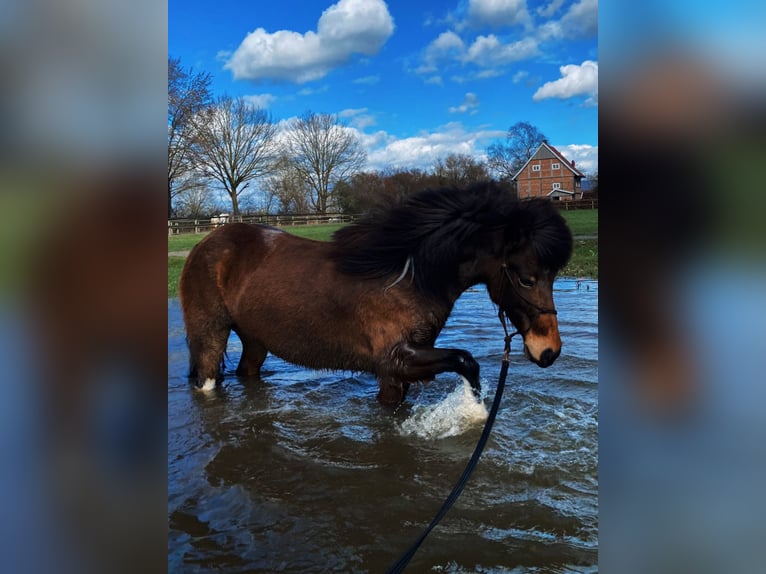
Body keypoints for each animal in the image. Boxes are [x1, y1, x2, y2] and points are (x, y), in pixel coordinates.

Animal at [180, 183, 572, 404]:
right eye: (527, 279)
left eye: (553, 276)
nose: (549, 351)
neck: (406, 277)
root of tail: (206, 243)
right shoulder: (394, 362)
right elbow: (465, 361)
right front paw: (474, 411)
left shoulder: (404, 368)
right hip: (210, 339)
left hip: (255, 341)